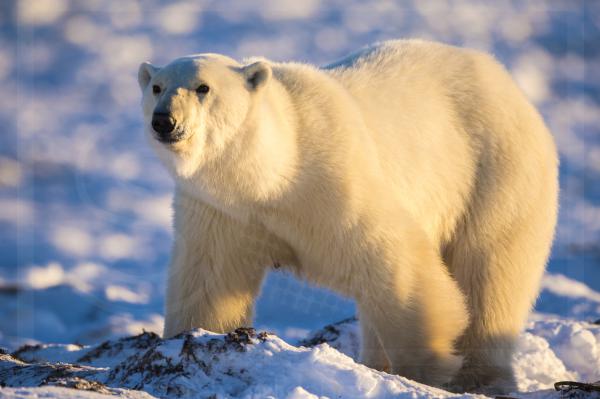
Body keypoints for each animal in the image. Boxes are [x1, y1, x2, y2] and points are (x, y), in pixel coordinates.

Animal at [138, 40, 560, 394]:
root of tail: (506, 81)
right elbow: (208, 279)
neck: (269, 175)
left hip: (496, 171)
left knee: (490, 272)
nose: (164, 121)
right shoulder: (221, 210)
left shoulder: (333, 180)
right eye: (157, 87)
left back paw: (480, 377)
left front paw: (428, 367)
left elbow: (395, 260)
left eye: (203, 88)